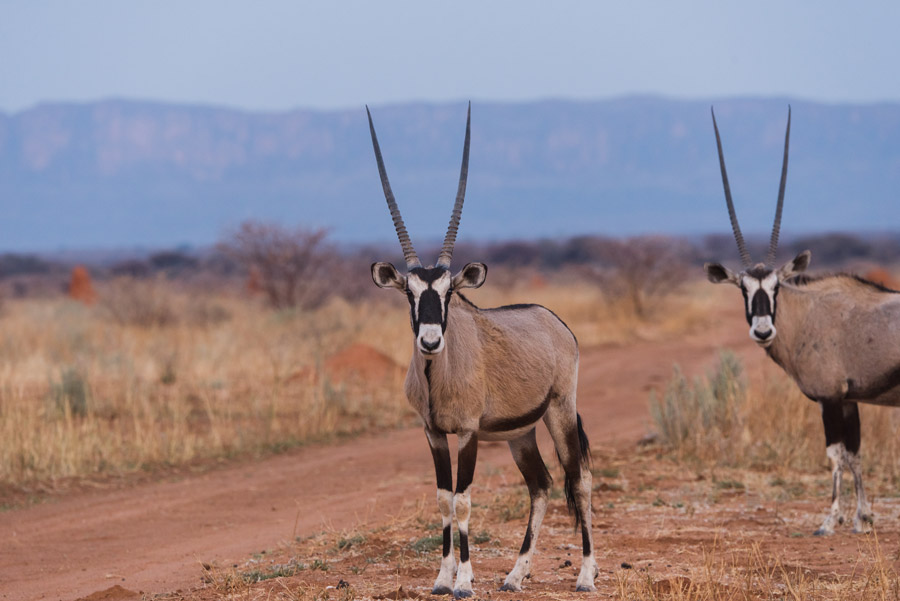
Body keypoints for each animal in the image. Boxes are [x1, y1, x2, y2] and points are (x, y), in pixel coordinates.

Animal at [366, 104, 596, 596]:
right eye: (410, 293)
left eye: (449, 292)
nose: (430, 341)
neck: (438, 373)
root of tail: (555, 321)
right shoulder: (433, 432)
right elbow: (443, 499)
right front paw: (441, 578)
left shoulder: (468, 432)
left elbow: (465, 500)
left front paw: (465, 582)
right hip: (520, 433)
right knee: (541, 484)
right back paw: (515, 575)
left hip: (560, 411)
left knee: (579, 478)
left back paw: (587, 574)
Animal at [700, 106, 888, 536]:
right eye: (743, 288)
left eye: (777, 286)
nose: (763, 330)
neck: (809, 315)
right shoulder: (848, 399)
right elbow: (855, 454)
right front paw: (863, 518)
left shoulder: (830, 398)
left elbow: (835, 454)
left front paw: (830, 520)